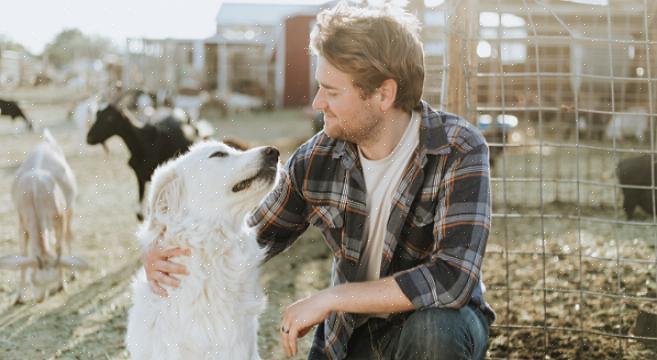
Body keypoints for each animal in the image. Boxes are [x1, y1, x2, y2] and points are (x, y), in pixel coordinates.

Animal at [0, 129, 87, 304]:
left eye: (50, 281)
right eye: (32, 279)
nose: (40, 299)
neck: (35, 192)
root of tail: (46, 140)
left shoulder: (60, 219)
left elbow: (59, 247)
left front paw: (62, 284)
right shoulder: (22, 222)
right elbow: (23, 255)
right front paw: (19, 297)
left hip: (70, 208)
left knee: (68, 236)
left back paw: (72, 273)